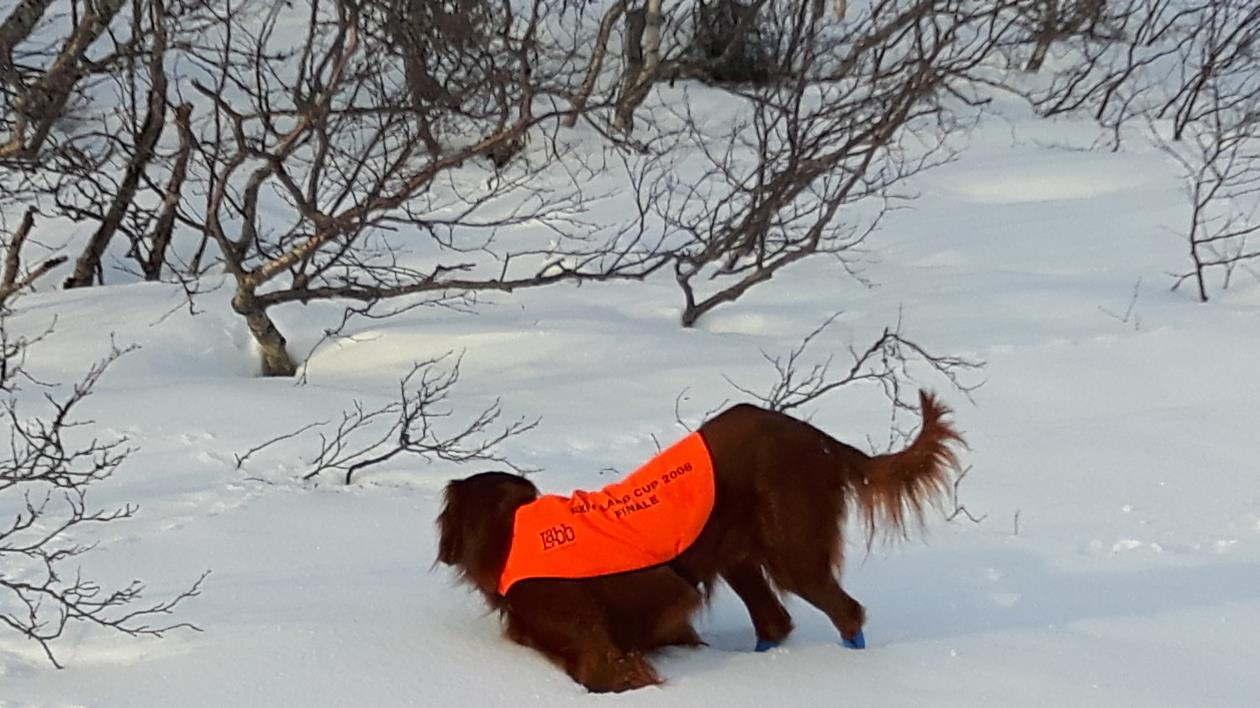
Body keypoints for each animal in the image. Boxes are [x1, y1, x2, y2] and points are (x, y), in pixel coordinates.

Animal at [435, 385, 962, 690]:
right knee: (775, 622)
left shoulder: (597, 648)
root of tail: (823, 442)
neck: (511, 532)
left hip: (794, 552)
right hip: (740, 557)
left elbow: (603, 670)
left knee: (846, 613)